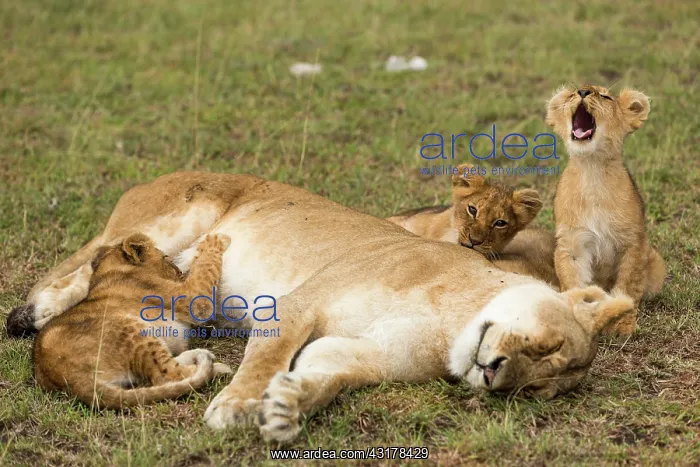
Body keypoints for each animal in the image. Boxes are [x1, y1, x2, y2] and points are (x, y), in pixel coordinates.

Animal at [32, 233, 233, 408]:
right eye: (166, 258)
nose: (180, 272)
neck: (109, 270)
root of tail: (63, 375)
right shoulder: (192, 297)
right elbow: (205, 268)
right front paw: (216, 240)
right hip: (133, 330)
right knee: (165, 375)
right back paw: (218, 368)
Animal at [546, 85, 665, 334]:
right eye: (571, 94)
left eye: (605, 96)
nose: (582, 92)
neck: (592, 169)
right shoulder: (572, 245)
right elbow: (573, 283)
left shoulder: (633, 242)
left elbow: (628, 286)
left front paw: (623, 323)